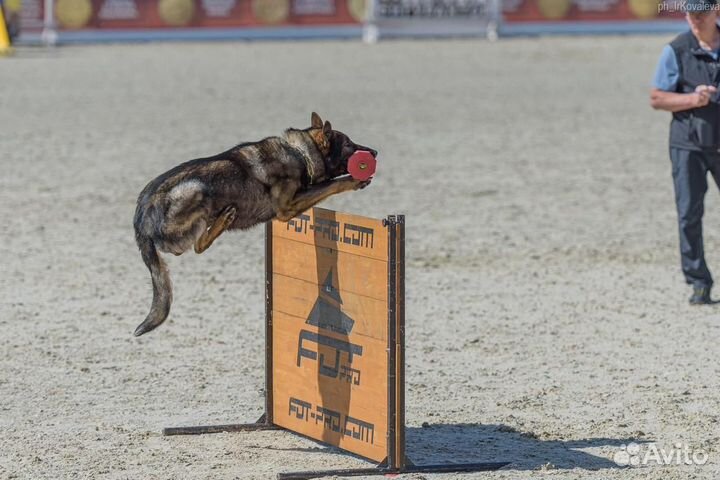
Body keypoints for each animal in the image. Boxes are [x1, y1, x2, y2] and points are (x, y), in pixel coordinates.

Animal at [134, 114, 376, 336]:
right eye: (348, 144)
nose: (375, 152)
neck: (300, 153)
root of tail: (141, 217)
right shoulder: (287, 208)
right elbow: (331, 185)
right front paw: (353, 180)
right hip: (196, 190)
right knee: (191, 246)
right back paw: (223, 220)